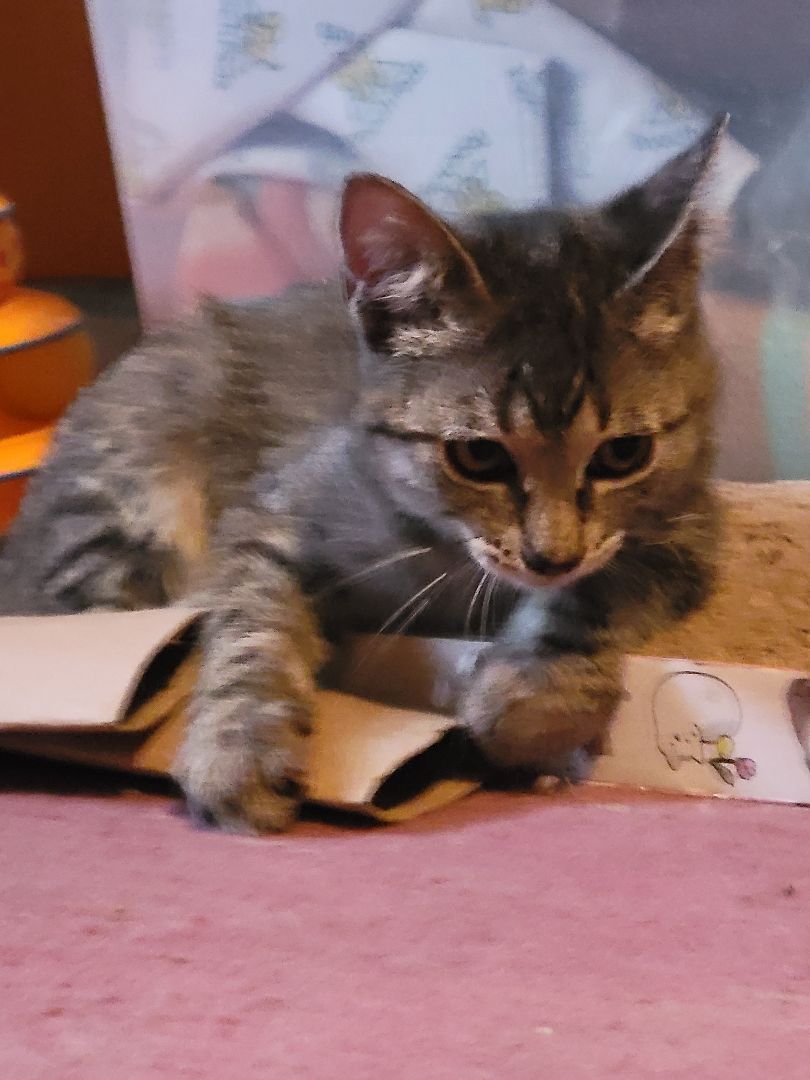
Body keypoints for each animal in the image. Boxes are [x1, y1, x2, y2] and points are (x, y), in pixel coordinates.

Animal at [0, 115, 727, 833]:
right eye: (479, 456)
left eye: (623, 454)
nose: (551, 557)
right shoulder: (270, 516)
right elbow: (250, 627)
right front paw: (238, 750)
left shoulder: (687, 529)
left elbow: (597, 591)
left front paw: (529, 711)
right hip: (126, 512)